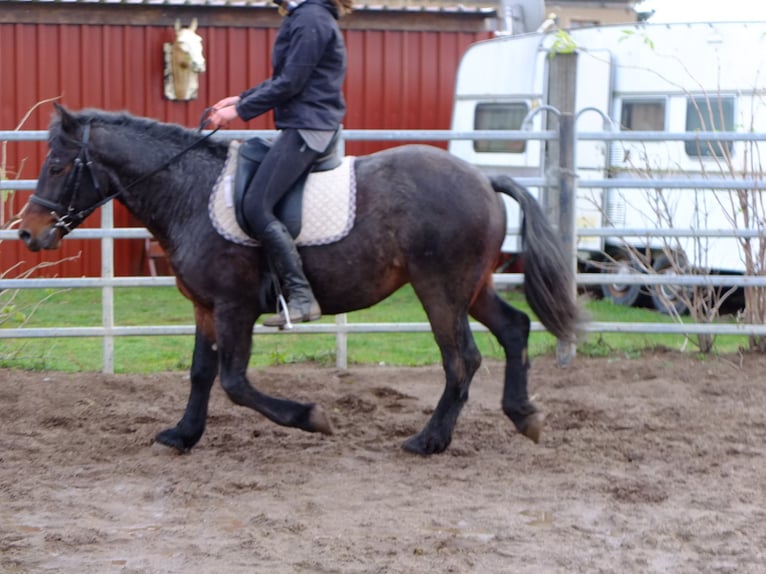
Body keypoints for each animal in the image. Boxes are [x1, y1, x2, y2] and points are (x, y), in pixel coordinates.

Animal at [16, 106, 584, 456]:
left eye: (59, 165)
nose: (27, 232)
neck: (190, 193)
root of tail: (483, 177)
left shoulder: (234, 307)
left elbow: (235, 382)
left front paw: (311, 416)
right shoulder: (205, 306)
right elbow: (201, 374)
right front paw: (183, 434)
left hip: (440, 290)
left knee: (462, 358)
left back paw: (429, 440)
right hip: (473, 287)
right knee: (514, 328)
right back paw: (523, 416)